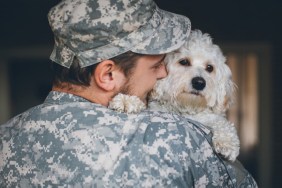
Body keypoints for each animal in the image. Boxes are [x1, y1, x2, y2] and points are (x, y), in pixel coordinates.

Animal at [109, 29, 239, 162]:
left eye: (209, 68)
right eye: (184, 61)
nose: (199, 83)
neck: (183, 107)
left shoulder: (207, 117)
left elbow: (221, 122)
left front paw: (227, 142)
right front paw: (127, 101)